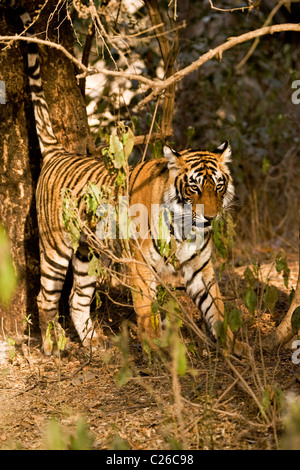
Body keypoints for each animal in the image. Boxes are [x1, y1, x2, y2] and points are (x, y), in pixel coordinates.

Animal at [11, 1, 244, 356]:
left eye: (218, 185)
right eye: (193, 187)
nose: (211, 218)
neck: (185, 227)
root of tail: (58, 153)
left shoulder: (201, 268)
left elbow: (215, 308)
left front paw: (233, 349)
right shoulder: (140, 264)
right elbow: (147, 311)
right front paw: (157, 349)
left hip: (87, 253)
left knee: (77, 298)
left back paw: (94, 345)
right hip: (56, 247)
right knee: (46, 297)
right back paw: (53, 345)